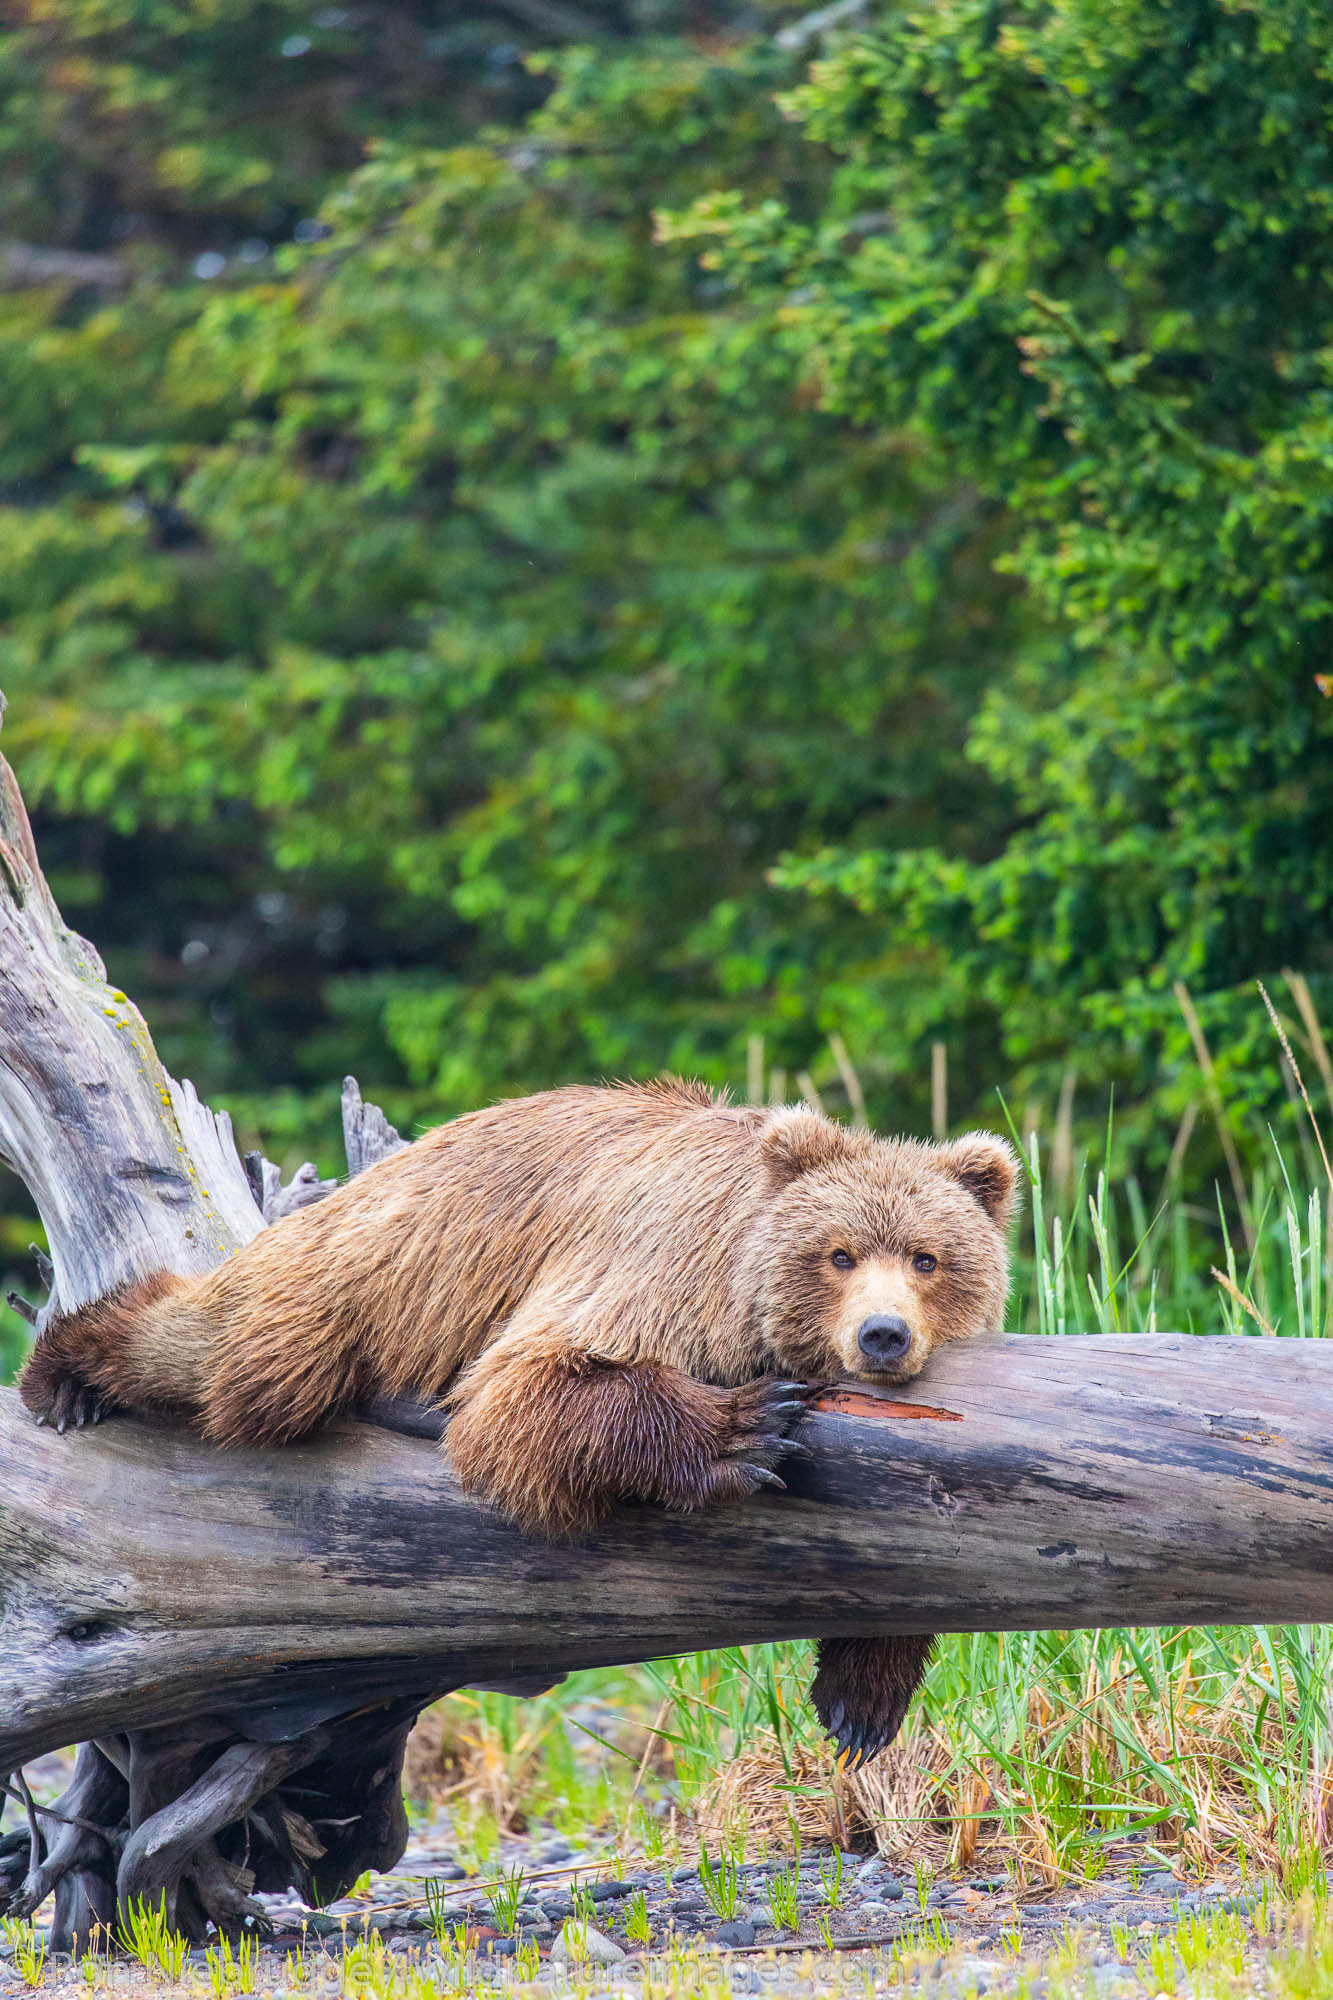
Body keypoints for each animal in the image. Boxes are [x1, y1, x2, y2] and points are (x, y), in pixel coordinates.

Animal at [20, 1080, 1012, 1768]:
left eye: (927, 1258)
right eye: (837, 1254)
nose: (881, 1335)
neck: (744, 1302)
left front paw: (861, 1699)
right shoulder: (659, 1266)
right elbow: (526, 1392)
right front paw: (745, 1429)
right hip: (364, 1276)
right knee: (228, 1358)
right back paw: (64, 1375)